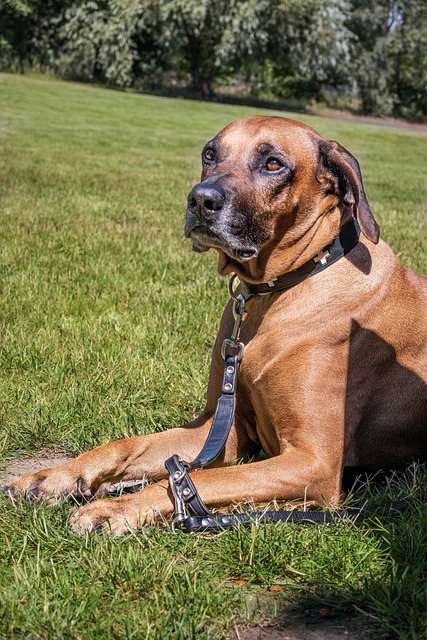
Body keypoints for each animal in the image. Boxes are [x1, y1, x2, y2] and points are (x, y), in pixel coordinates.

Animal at [4, 117, 427, 532]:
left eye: (273, 163)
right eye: (210, 154)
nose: (200, 200)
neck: (279, 290)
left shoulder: (314, 462)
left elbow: (198, 478)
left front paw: (117, 507)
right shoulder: (223, 427)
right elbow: (132, 446)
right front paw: (51, 477)